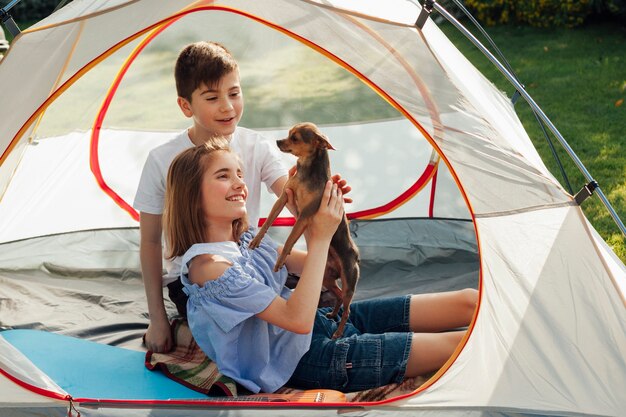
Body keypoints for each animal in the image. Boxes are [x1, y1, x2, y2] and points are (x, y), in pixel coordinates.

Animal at [246, 122, 358, 340]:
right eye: (288, 133)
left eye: (295, 138)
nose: (277, 141)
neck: (307, 171)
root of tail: (356, 255)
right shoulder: (284, 197)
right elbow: (268, 221)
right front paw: (256, 240)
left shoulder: (305, 214)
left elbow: (290, 238)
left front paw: (280, 261)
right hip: (326, 277)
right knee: (339, 296)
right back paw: (332, 313)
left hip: (349, 280)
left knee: (348, 307)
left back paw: (338, 332)